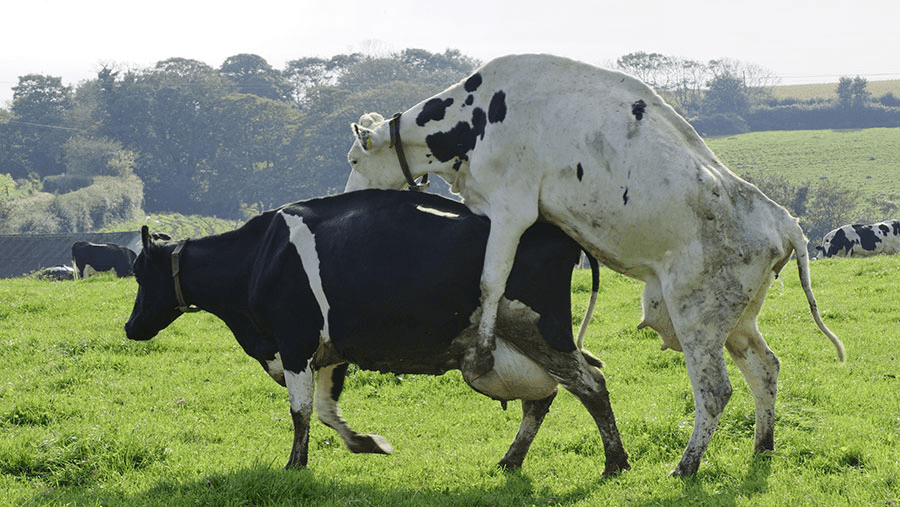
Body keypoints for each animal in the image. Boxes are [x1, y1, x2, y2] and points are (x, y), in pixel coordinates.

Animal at [125, 190, 632, 476]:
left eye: (139, 273)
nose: (130, 327)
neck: (258, 257)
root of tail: (559, 232)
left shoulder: (293, 343)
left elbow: (301, 412)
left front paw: (294, 466)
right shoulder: (328, 352)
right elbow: (326, 411)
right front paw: (367, 443)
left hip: (541, 331)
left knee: (591, 385)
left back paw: (615, 463)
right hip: (519, 344)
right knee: (543, 397)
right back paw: (510, 461)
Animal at [344, 53, 844, 478]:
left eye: (353, 158)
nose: (345, 197)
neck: (477, 118)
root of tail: (781, 218)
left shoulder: (511, 209)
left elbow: (491, 281)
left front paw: (483, 353)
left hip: (697, 316)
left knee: (716, 390)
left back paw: (686, 466)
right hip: (736, 319)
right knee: (765, 368)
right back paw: (762, 447)